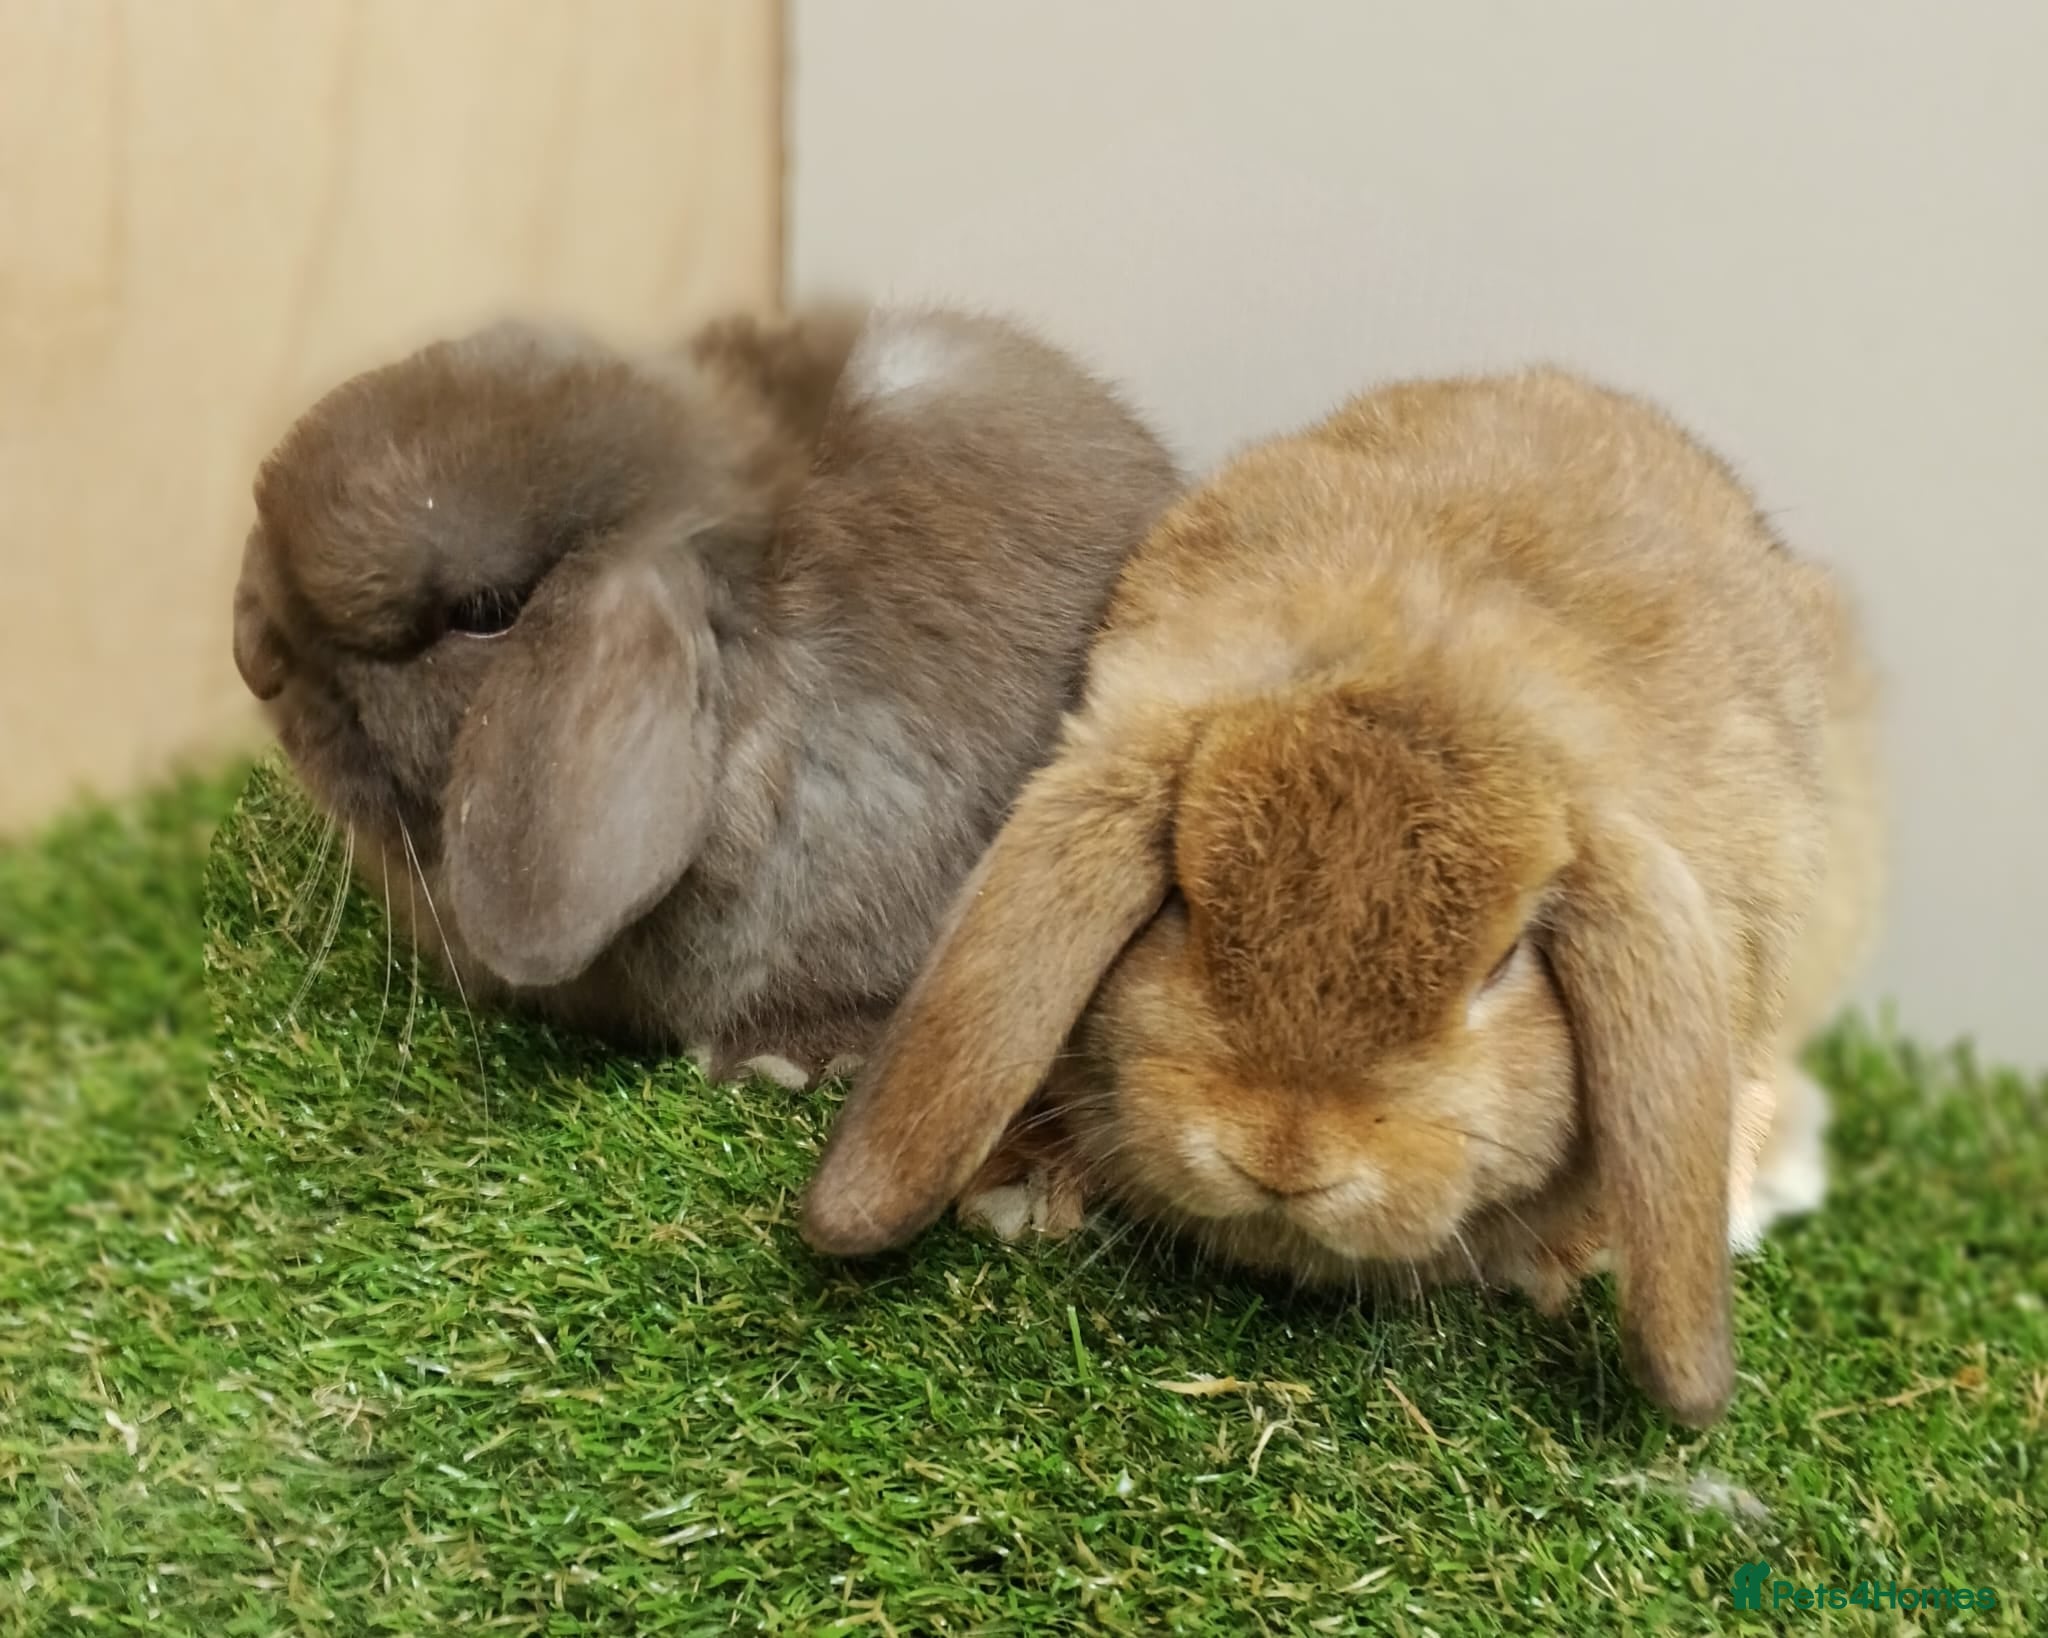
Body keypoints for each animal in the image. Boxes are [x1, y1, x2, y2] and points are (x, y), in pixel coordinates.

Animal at [801, 367, 1883, 1427]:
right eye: (1184, 902)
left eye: (1502, 964)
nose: (1282, 1157)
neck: (1425, 667)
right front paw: (1024, 1185)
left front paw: (1559, 1262)